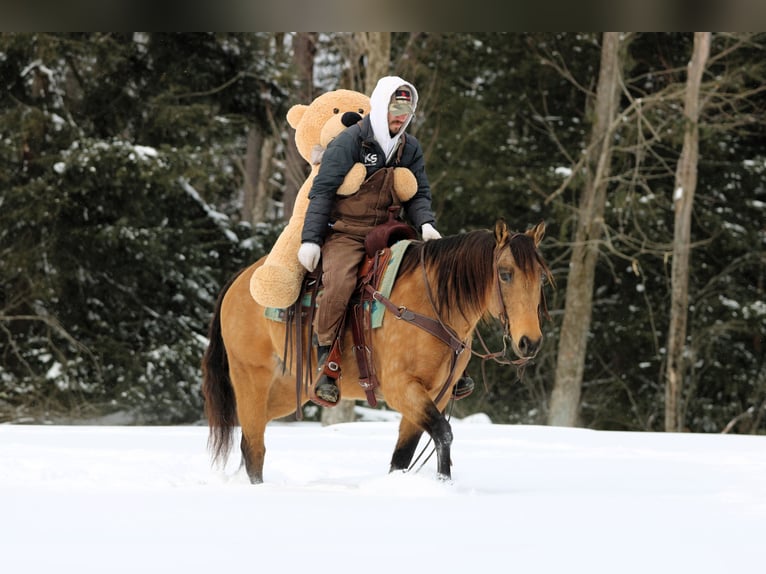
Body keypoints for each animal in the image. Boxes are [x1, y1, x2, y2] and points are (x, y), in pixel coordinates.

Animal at [202, 219, 551, 483]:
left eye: (541, 280)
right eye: (505, 274)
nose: (530, 341)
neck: (430, 305)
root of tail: (240, 281)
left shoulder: (432, 396)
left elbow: (403, 456)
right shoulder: (401, 389)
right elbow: (443, 433)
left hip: (289, 389)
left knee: (251, 435)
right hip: (252, 377)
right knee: (254, 447)